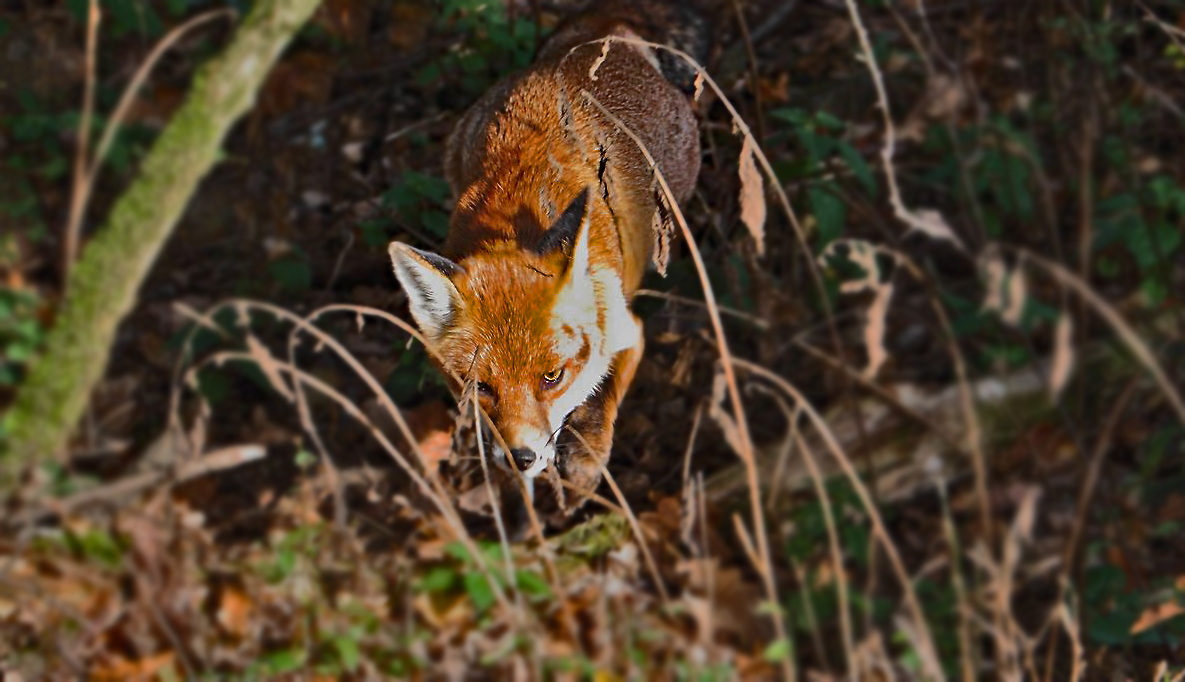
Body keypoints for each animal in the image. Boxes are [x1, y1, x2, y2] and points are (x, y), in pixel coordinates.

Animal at [388, 2, 701, 513]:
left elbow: (600, 406)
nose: (521, 458)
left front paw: (583, 469)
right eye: (480, 386)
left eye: (552, 377)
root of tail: (596, 36)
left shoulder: (627, 331)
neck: (513, 222)